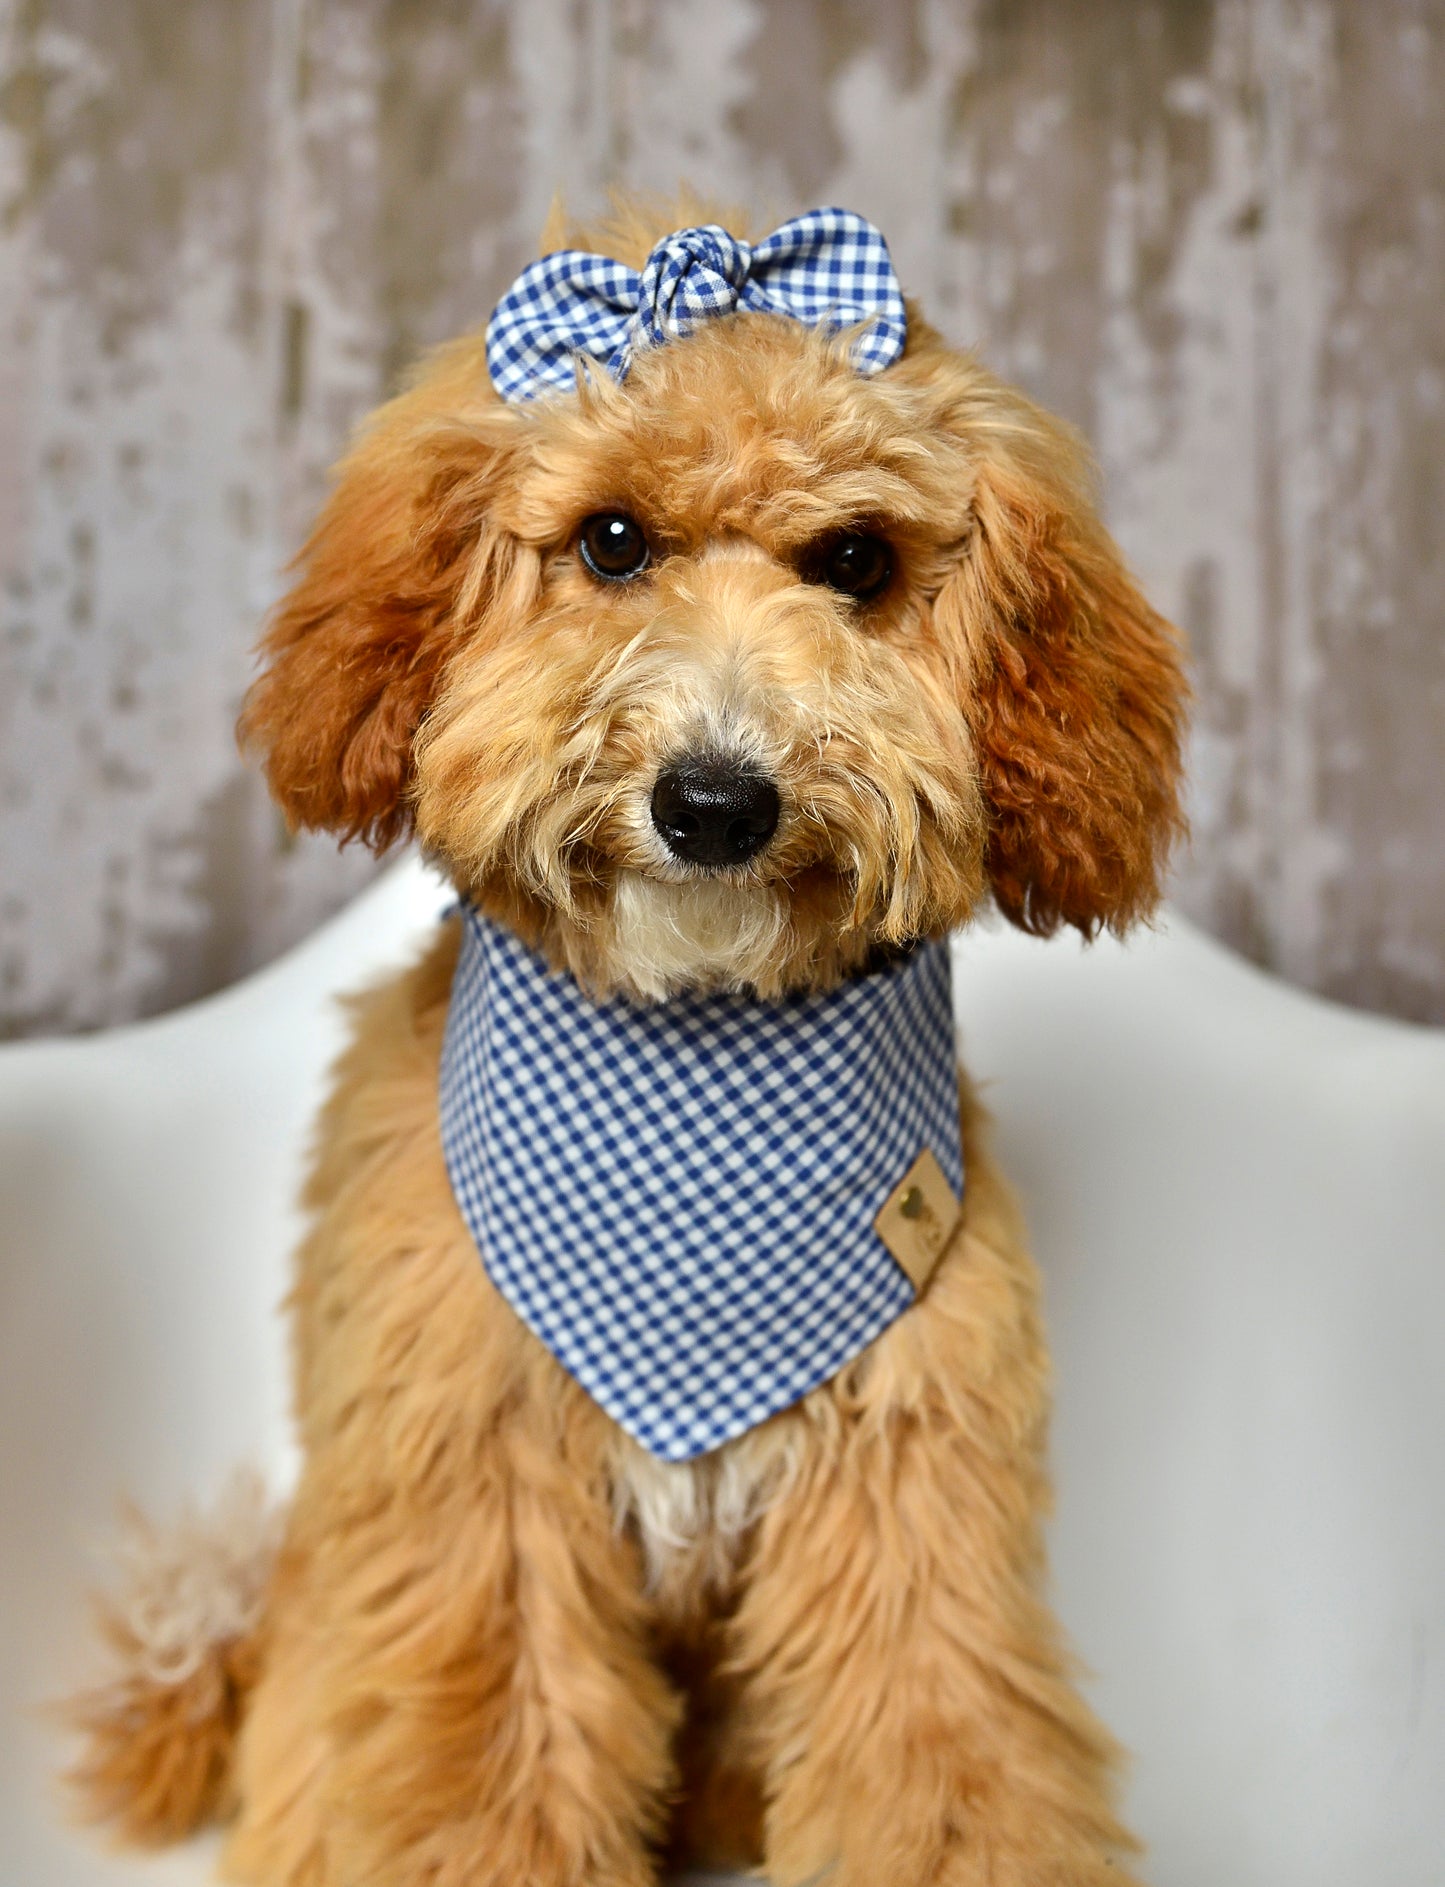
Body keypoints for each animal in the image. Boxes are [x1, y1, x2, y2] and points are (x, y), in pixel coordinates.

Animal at [67, 195, 1192, 1887]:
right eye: (610, 541)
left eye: (853, 561)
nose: (715, 800)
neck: (691, 1075)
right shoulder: (480, 1504)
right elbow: (478, 1775)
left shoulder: (911, 1488)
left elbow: (939, 1752)